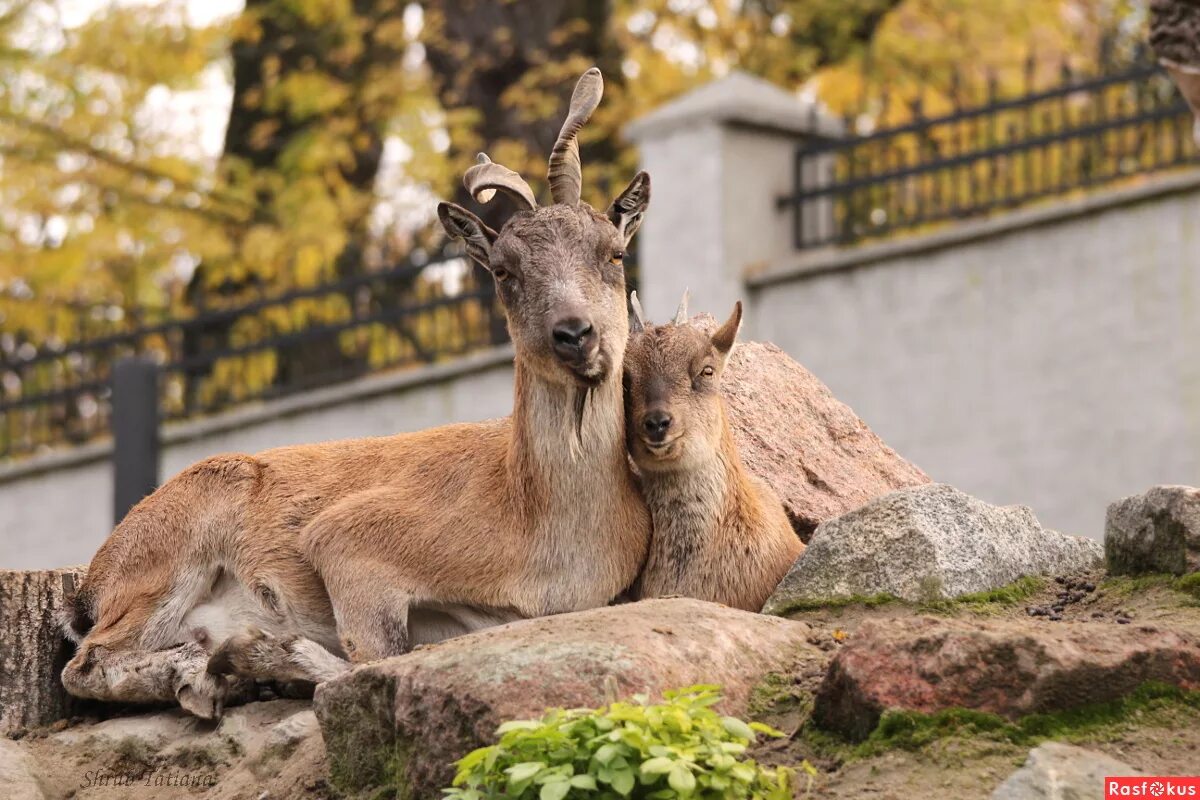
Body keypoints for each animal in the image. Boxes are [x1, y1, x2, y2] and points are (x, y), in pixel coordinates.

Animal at [60, 68, 652, 719]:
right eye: (503, 270)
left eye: (614, 252)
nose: (574, 335)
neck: (534, 517)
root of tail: (91, 582)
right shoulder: (349, 544)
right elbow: (373, 659)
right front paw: (259, 657)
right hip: (168, 558)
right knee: (87, 663)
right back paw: (207, 677)